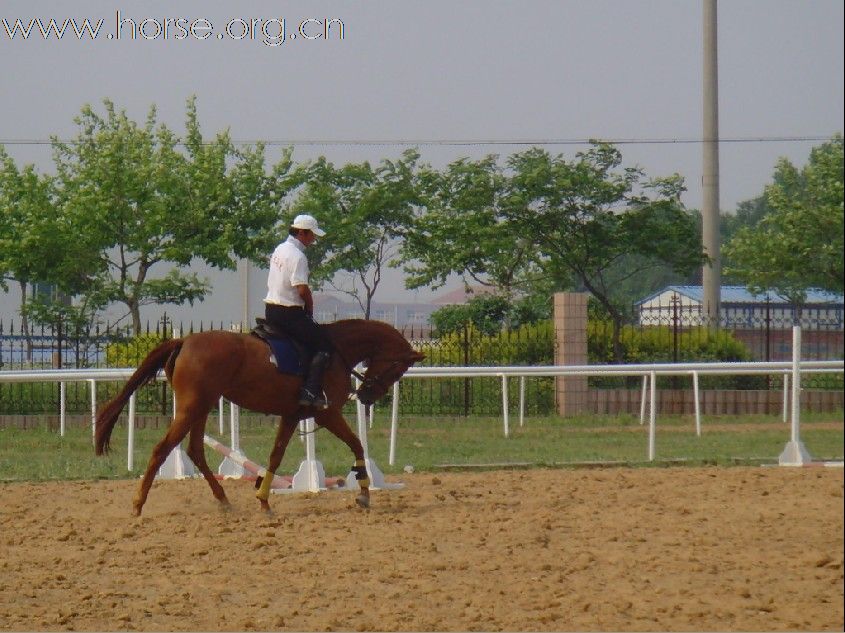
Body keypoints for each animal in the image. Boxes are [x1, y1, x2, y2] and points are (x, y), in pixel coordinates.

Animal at [95, 318, 426, 516]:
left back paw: (223, 500)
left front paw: (264, 499)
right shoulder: (327, 414)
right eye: (398, 369)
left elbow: (275, 456)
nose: (368, 397)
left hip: (202, 407)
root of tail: (185, 341)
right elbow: (357, 444)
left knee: (196, 450)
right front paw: (365, 492)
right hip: (192, 407)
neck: (337, 351)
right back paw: (138, 505)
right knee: (162, 449)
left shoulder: (292, 415)